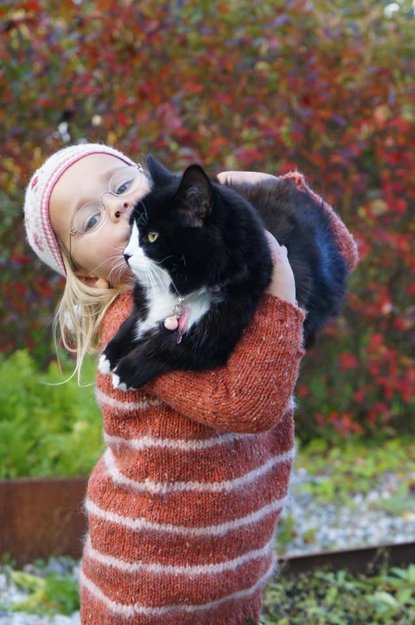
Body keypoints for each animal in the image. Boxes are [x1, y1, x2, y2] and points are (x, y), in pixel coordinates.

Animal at [100, 156, 347, 390]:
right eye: (132, 230)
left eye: (152, 236)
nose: (126, 254)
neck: (181, 290)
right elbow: (136, 317)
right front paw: (110, 353)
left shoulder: (227, 323)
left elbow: (174, 348)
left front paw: (128, 370)